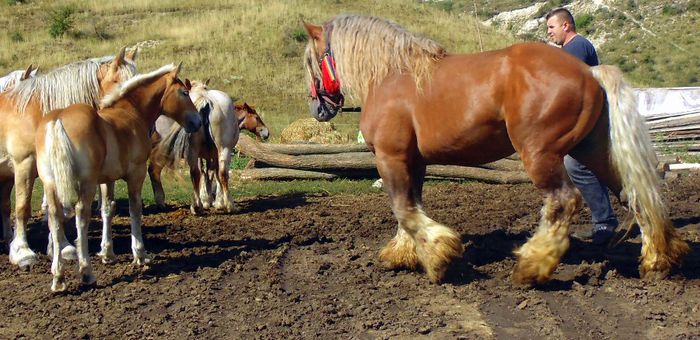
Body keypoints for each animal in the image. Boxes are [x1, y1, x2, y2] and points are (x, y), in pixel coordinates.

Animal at [0, 48, 138, 270]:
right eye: (123, 84)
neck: (39, 114)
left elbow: (57, 210)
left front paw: (62, 247)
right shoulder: (24, 164)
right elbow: (22, 208)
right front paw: (22, 252)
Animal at [36, 63, 201, 292]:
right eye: (184, 93)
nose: (198, 121)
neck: (131, 112)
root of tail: (58, 120)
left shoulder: (107, 179)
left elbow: (108, 209)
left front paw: (107, 253)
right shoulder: (136, 174)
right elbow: (135, 209)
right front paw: (140, 254)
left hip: (51, 185)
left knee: (54, 218)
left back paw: (58, 278)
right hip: (85, 184)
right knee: (81, 217)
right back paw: (86, 273)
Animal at [146, 79, 266, 212]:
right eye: (256, 117)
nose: (266, 133)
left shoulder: (203, 155)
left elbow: (205, 173)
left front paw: (206, 200)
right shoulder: (214, 154)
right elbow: (214, 174)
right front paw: (215, 201)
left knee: (192, 173)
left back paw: (193, 205)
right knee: (154, 171)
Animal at [302, 13, 688, 284]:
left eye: (311, 60)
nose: (317, 108)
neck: (393, 75)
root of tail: (589, 72)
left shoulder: (390, 157)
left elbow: (403, 208)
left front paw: (439, 257)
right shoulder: (415, 161)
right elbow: (411, 205)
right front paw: (404, 254)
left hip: (541, 155)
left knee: (565, 201)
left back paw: (532, 266)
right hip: (592, 150)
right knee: (633, 194)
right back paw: (657, 260)